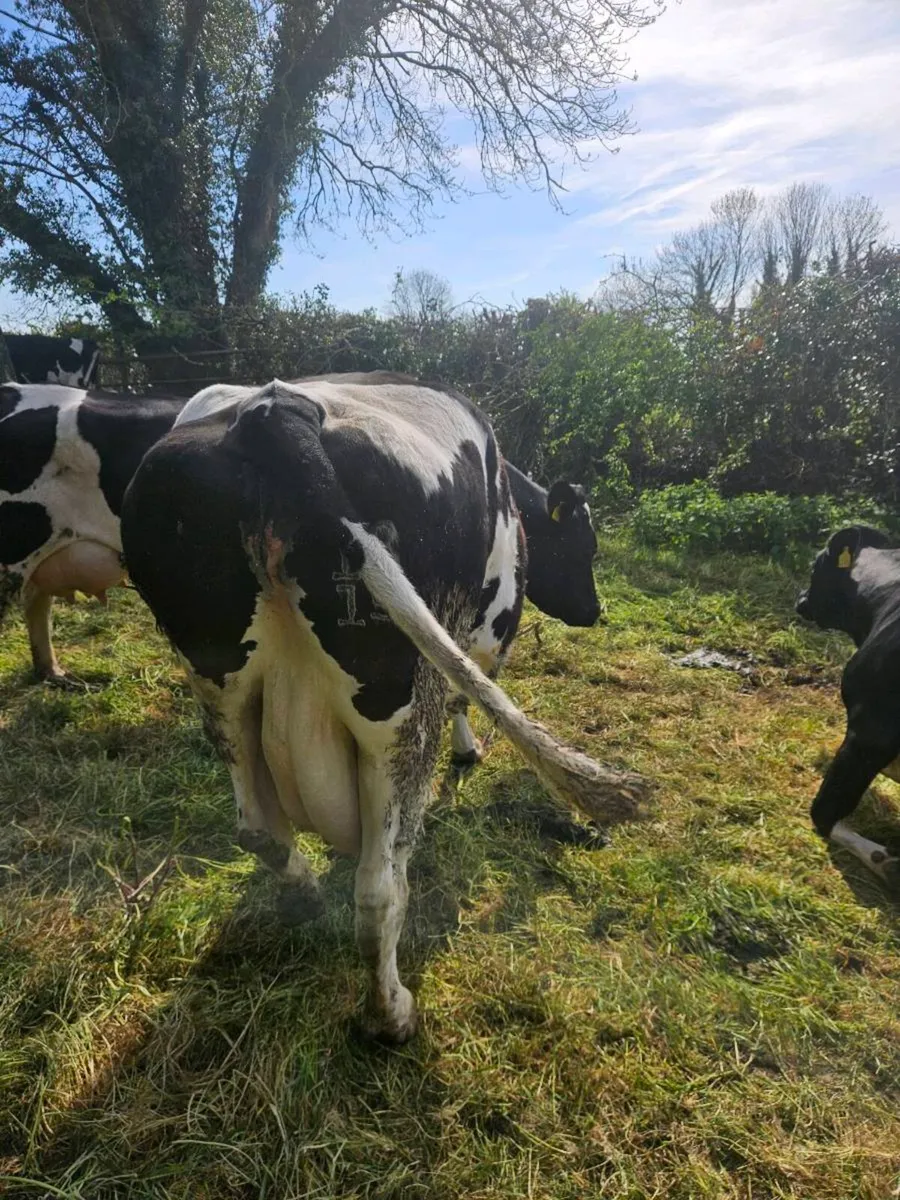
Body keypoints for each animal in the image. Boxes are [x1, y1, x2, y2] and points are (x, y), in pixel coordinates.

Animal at [121, 372, 649, 1041]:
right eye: (585, 546)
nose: (595, 611)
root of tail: (271, 414)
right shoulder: (487, 626)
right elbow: (464, 692)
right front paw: (467, 752)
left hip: (218, 684)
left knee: (260, 829)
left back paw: (303, 899)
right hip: (396, 714)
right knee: (378, 888)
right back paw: (390, 1012)